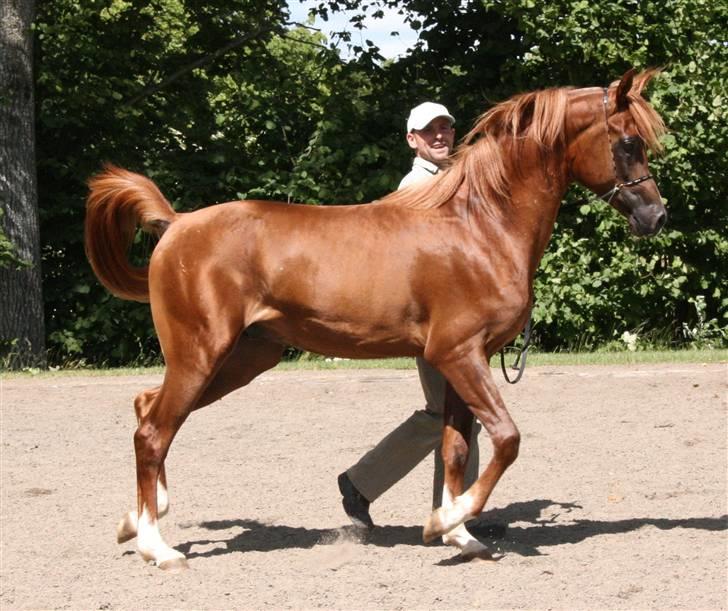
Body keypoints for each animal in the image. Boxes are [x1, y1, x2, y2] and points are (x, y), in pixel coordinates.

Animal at [84, 69, 664, 572]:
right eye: (628, 142)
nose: (656, 216)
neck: (480, 226)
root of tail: (177, 225)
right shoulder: (459, 354)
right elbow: (506, 438)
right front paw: (444, 523)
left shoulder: (459, 363)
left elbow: (455, 449)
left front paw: (461, 536)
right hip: (202, 353)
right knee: (153, 431)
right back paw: (158, 548)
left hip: (244, 357)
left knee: (146, 410)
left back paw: (136, 521)